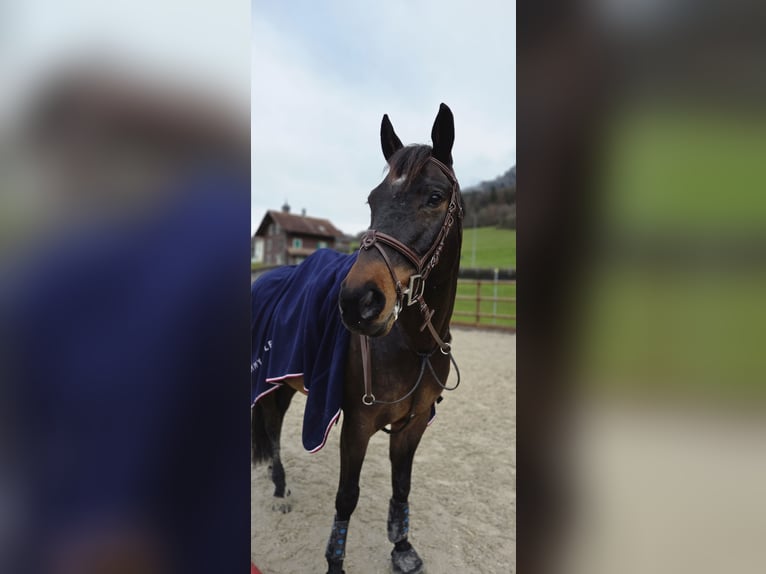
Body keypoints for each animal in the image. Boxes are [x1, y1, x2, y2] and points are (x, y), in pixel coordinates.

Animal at [251, 103, 463, 574]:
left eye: (434, 197)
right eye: (372, 201)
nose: (357, 302)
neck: (414, 345)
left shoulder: (412, 425)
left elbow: (402, 486)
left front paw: (402, 546)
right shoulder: (358, 424)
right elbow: (346, 497)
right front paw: (335, 563)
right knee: (270, 426)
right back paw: (279, 489)